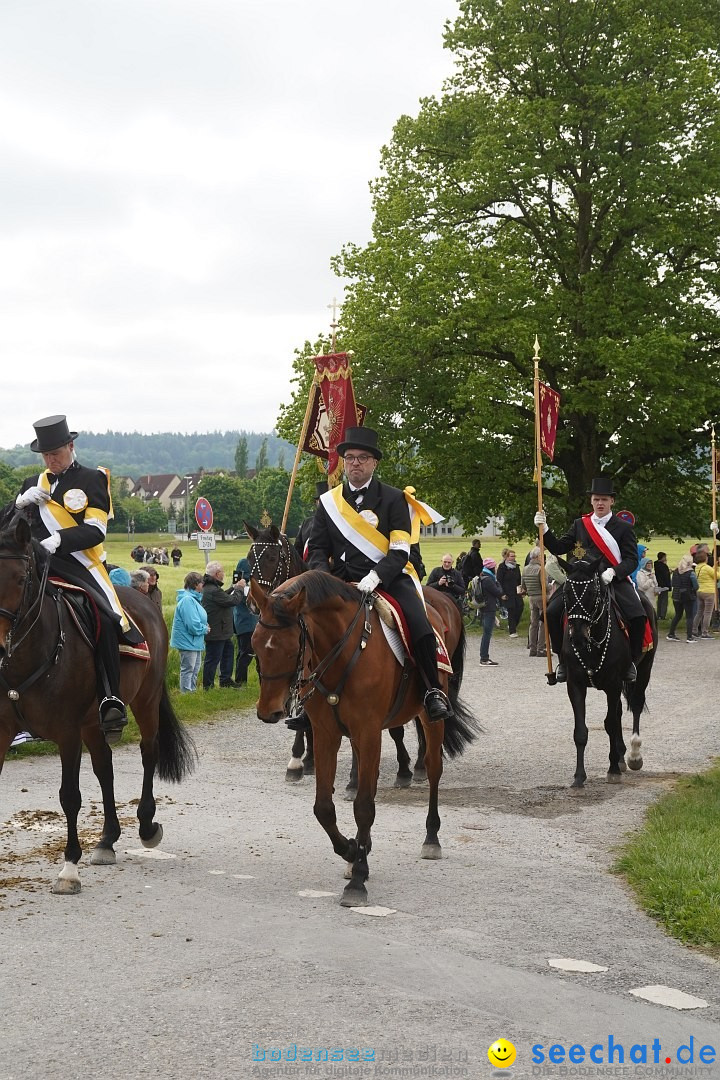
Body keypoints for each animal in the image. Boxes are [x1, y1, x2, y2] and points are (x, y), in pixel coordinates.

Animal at [0, 509, 195, 889]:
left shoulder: (66, 732)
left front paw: (69, 868)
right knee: (105, 766)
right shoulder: (3, 730)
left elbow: (70, 797)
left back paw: (146, 825)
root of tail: (144, 600)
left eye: (20, 578)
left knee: (148, 752)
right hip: (93, 721)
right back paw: (107, 839)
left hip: (145, 700)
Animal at [250, 570, 481, 907]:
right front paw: (350, 850)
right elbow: (324, 807)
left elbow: (363, 807)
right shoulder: (328, 733)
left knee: (434, 769)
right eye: (254, 645)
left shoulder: (369, 731)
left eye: (292, 648)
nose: (269, 712)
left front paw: (358, 878)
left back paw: (430, 836)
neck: (343, 651)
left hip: (428, 717)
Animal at [561, 557, 660, 786]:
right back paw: (622, 755)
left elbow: (611, 724)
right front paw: (579, 777)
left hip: (644, 669)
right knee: (618, 711)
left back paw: (633, 755)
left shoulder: (613, 684)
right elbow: (581, 731)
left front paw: (613, 769)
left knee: (636, 704)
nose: (577, 636)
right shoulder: (575, 684)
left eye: (591, 593)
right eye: (566, 592)